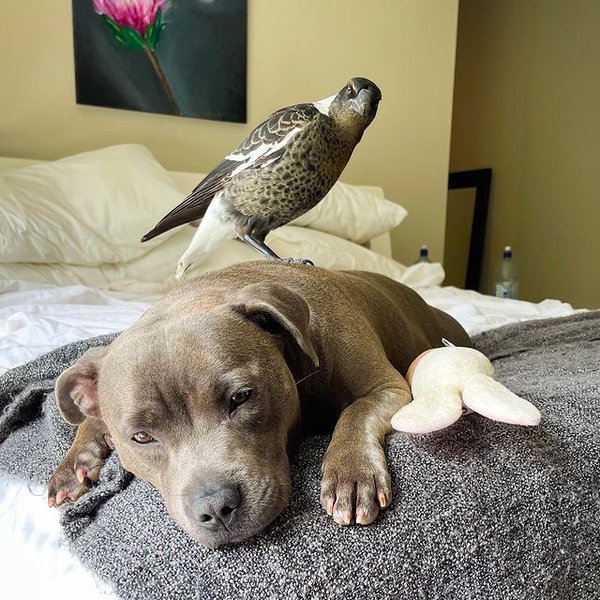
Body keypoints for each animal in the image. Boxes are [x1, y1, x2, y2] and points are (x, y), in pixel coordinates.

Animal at [48, 261, 471, 548]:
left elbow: (356, 412)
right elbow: (89, 419)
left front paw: (351, 475)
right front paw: (74, 465)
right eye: (140, 437)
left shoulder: (385, 387)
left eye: (241, 397)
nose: (216, 507)